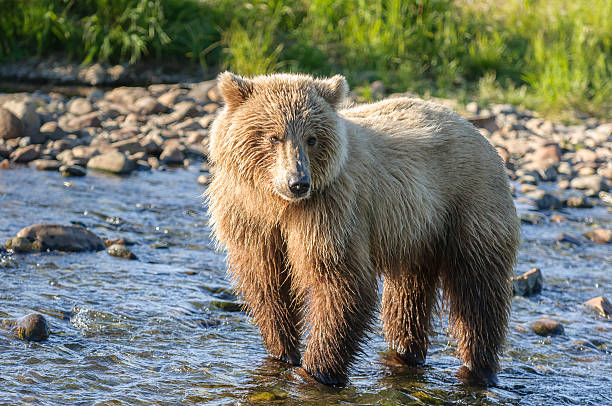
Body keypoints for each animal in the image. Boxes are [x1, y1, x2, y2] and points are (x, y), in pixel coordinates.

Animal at [207, 72, 520, 386]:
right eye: (274, 136)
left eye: (312, 138)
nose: (298, 182)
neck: (278, 203)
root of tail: (478, 133)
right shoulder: (251, 218)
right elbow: (267, 283)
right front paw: (283, 351)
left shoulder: (331, 212)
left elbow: (340, 282)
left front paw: (317, 370)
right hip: (416, 232)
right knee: (408, 296)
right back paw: (406, 352)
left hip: (469, 208)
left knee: (477, 293)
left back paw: (478, 367)